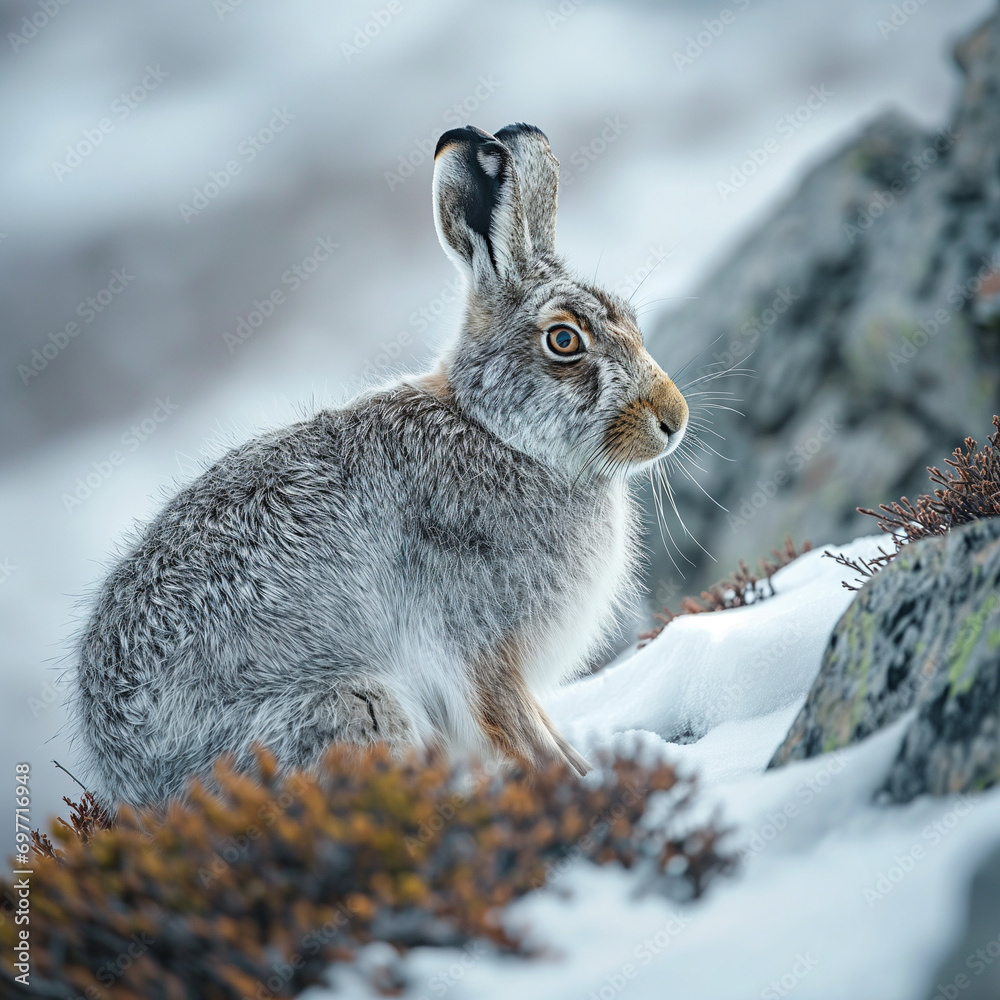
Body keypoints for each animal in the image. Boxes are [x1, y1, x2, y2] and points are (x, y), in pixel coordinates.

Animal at [69, 122, 689, 810]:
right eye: (563, 341)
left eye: (631, 322)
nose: (674, 418)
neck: (497, 433)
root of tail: (145, 796)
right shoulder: (478, 643)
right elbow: (520, 732)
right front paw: (585, 786)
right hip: (357, 708)